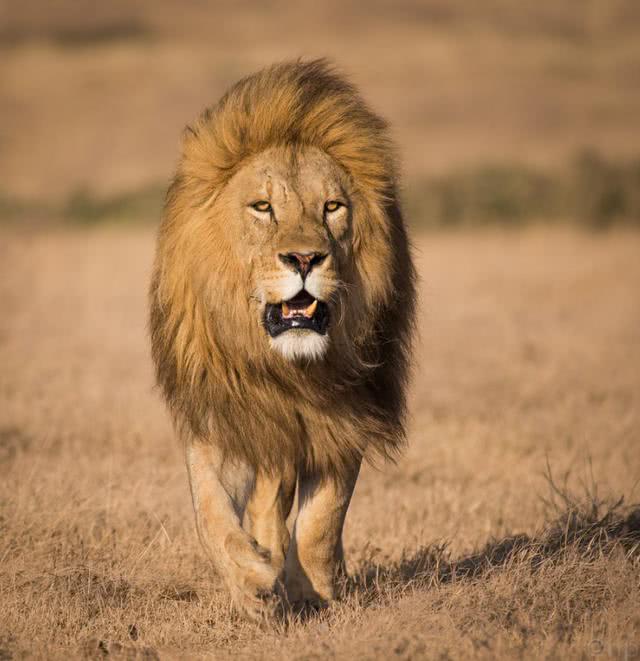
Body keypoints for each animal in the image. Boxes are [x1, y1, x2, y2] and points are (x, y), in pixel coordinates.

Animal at [150, 59, 418, 616]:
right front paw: (253, 582)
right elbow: (210, 511)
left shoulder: (344, 417)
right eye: (262, 207)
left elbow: (322, 519)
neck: (286, 367)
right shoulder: (222, 414)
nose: (304, 258)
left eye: (333, 207)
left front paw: (313, 588)